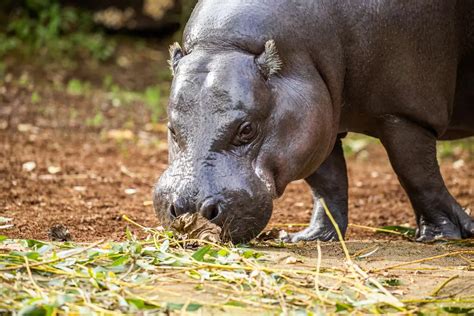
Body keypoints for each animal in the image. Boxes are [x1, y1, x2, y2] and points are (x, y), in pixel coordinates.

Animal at [154, 0, 472, 243]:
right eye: (171, 128)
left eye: (247, 130)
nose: (189, 206)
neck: (225, 44)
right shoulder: (317, 120)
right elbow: (327, 183)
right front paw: (311, 237)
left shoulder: (405, 113)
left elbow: (417, 175)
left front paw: (440, 236)